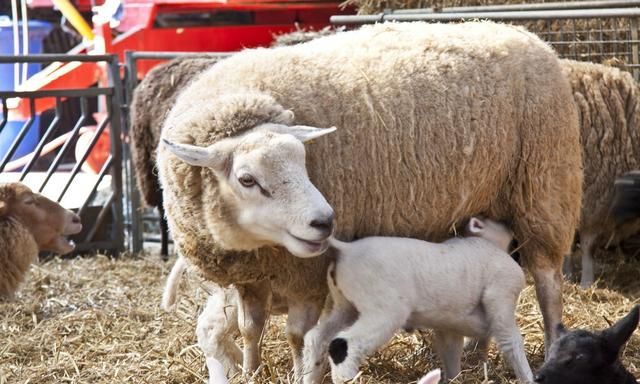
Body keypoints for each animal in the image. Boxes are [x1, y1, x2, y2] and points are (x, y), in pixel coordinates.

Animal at [302, 218, 532, 382]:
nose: (510, 225)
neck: (484, 243)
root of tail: (347, 249)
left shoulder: (449, 329)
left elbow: (451, 356)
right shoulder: (502, 293)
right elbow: (511, 342)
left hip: (345, 306)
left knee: (316, 339)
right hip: (385, 311)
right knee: (343, 345)